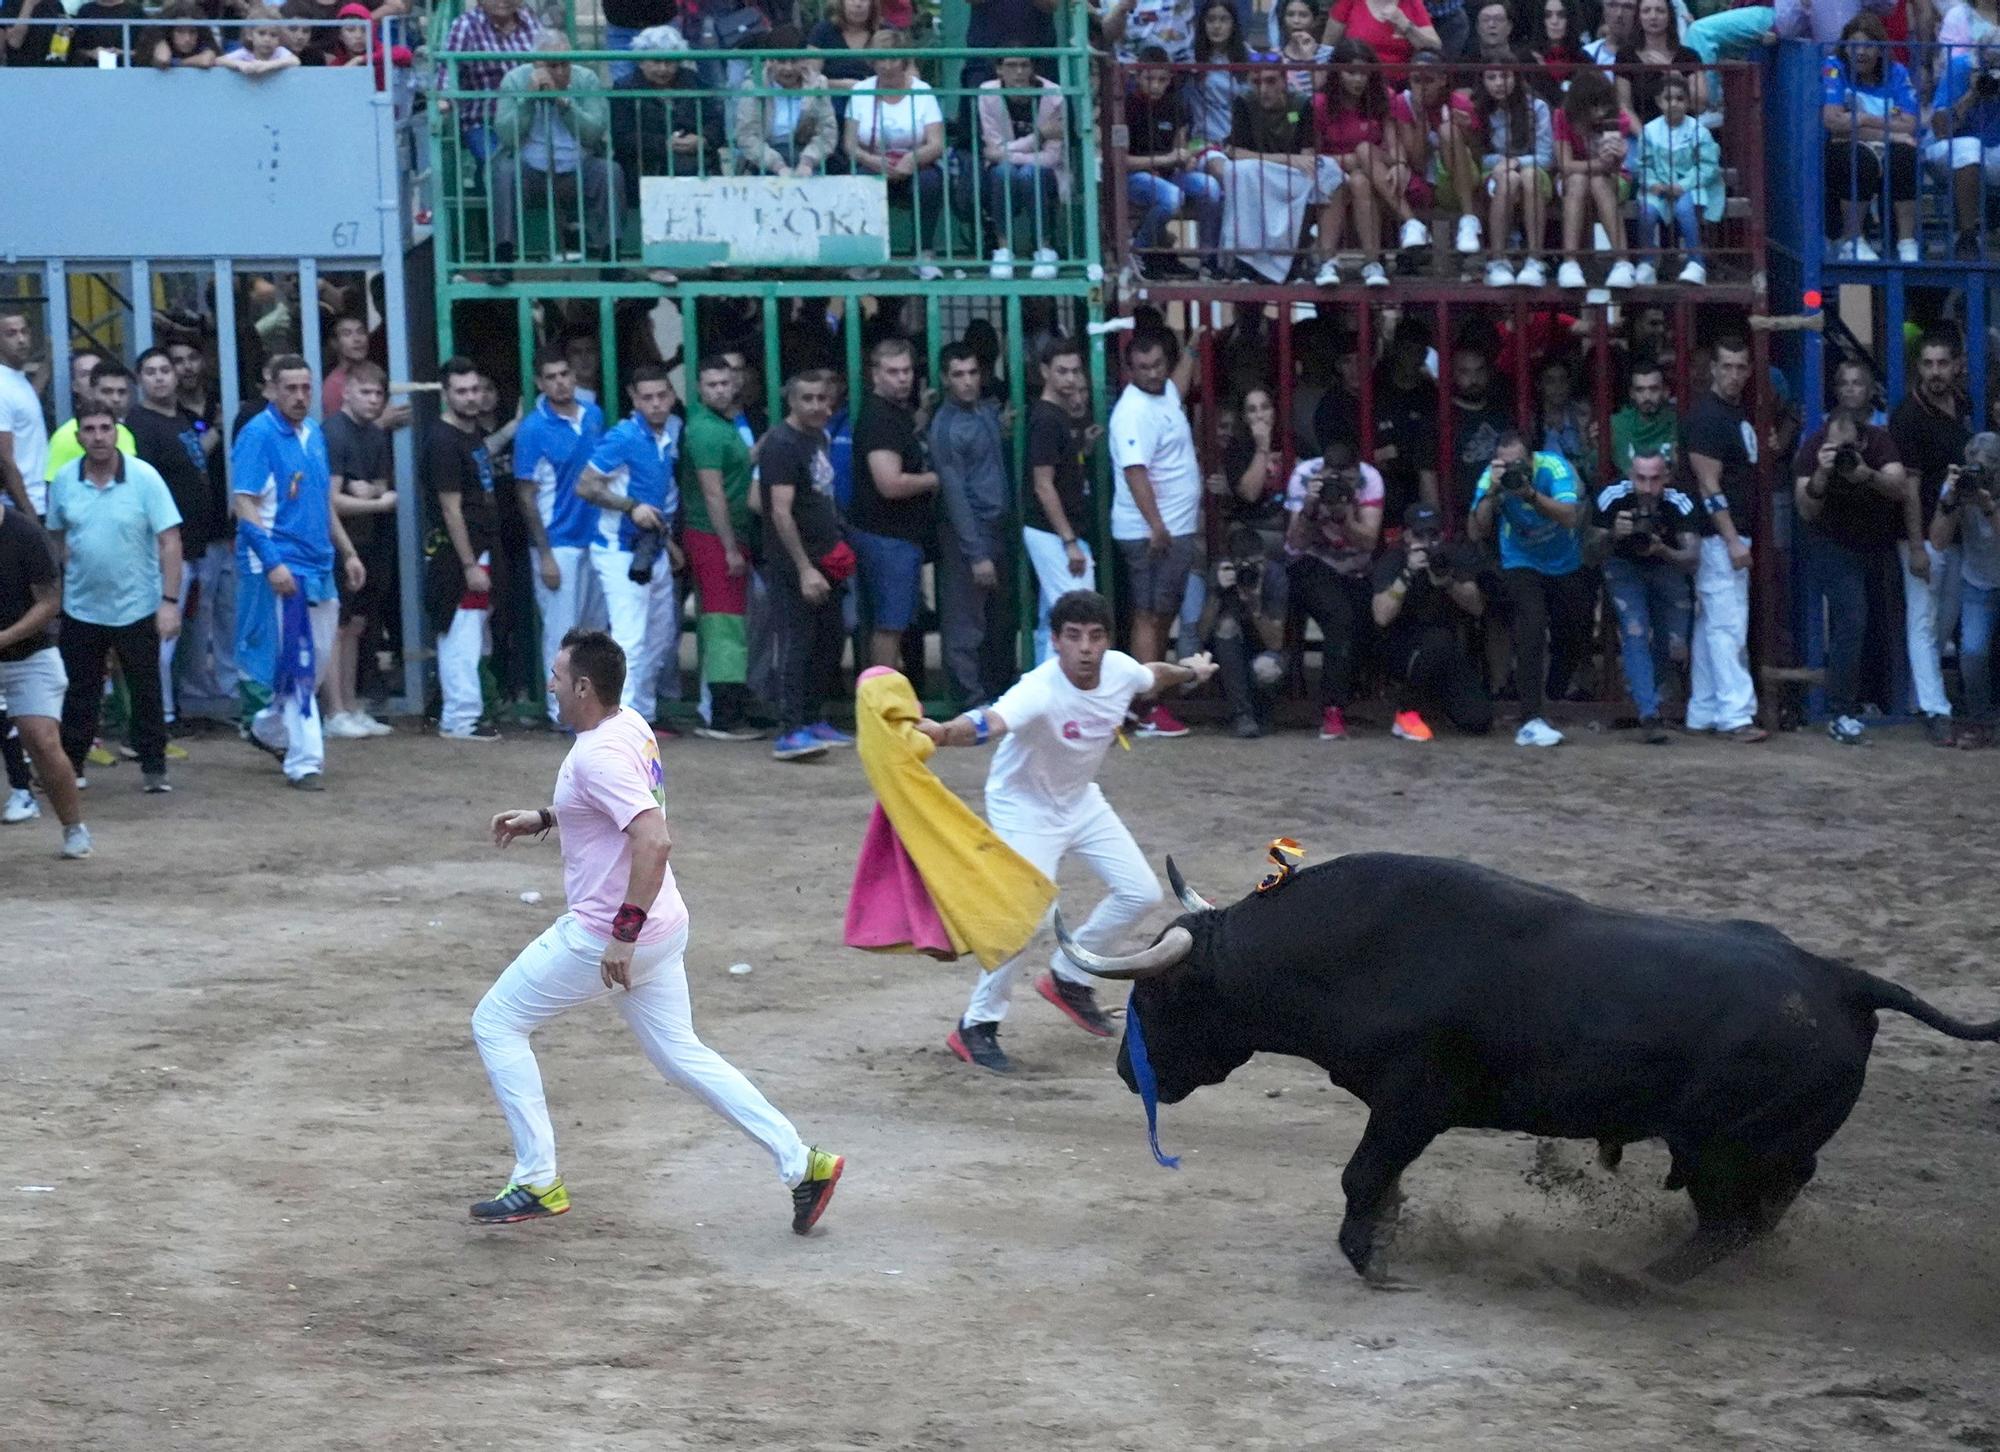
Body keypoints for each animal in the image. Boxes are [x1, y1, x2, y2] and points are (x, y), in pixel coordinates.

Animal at [1056, 852, 1992, 1288]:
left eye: (1161, 997)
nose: (1126, 1073)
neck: (1352, 950)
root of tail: (1840, 978)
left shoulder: (1409, 1103)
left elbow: (1363, 1176)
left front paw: (1372, 1259)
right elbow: (1380, 1181)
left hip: (1719, 1149)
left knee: (1732, 1222)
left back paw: (1628, 1282)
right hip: (1744, 1150)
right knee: (1769, 1204)